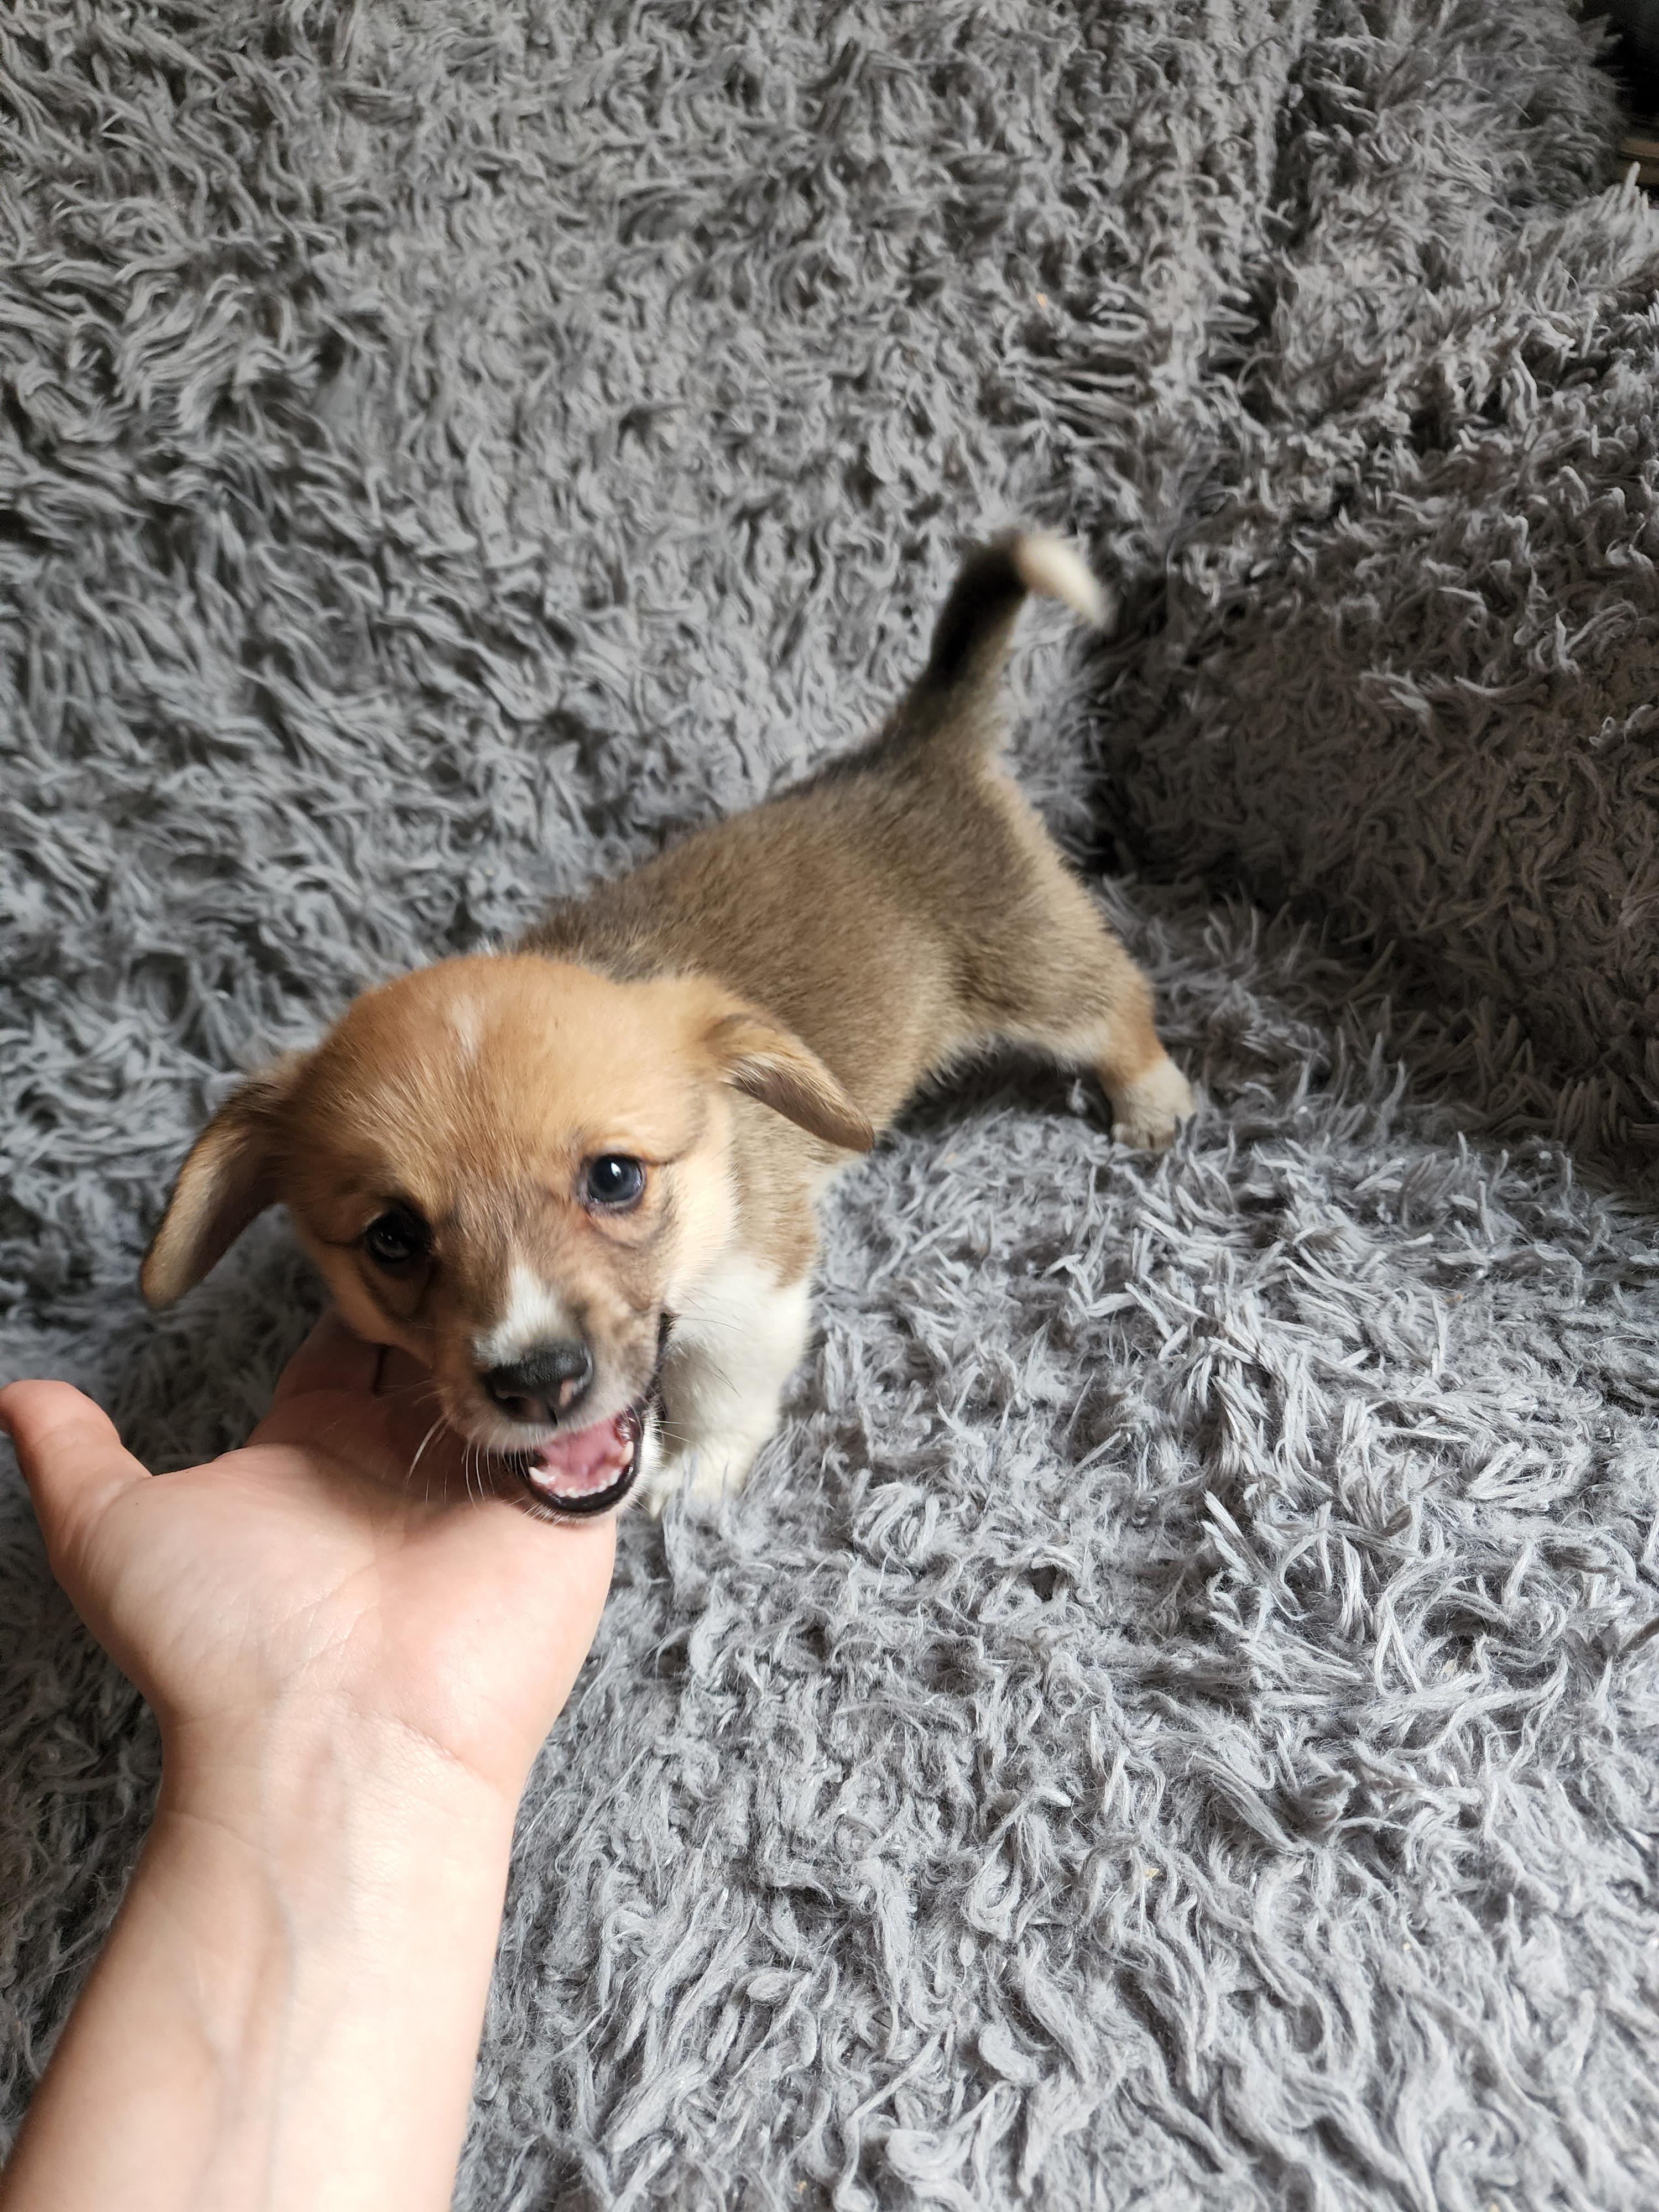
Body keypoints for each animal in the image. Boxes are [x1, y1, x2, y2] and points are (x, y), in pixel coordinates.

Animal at [142, 535, 1193, 1517]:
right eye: (393, 1239)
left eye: (615, 1178)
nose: (537, 1383)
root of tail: (916, 744)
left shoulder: (757, 1287)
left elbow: (724, 1390)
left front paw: (699, 1477)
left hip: (1034, 966)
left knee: (1118, 1001)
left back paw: (1154, 1105)